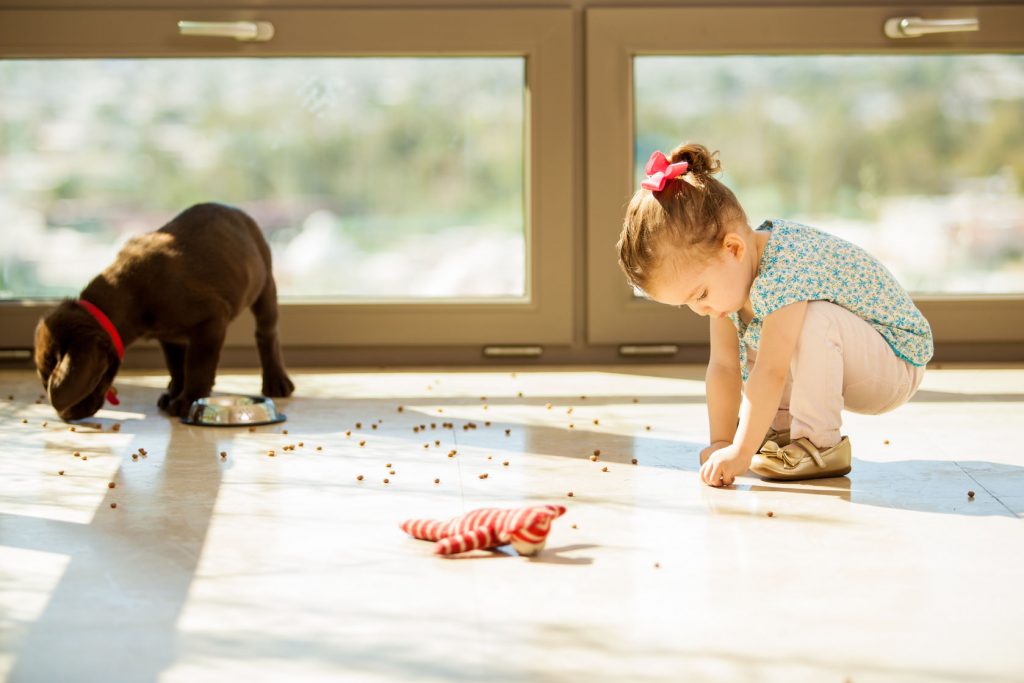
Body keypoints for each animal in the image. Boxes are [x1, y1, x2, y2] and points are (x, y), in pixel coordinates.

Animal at [35, 200, 292, 419]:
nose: (65, 417)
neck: (127, 294)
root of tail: (236, 211)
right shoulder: (169, 338)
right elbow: (177, 367)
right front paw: (175, 392)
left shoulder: (211, 321)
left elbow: (198, 366)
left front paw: (188, 400)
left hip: (265, 285)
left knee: (267, 333)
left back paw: (276, 380)